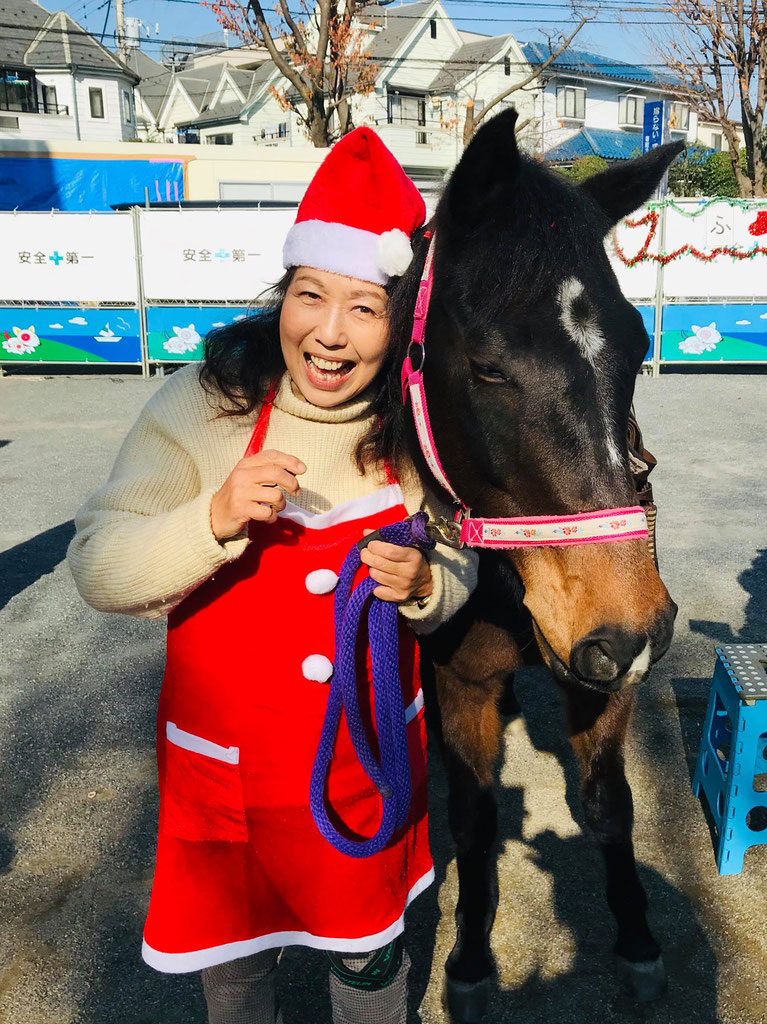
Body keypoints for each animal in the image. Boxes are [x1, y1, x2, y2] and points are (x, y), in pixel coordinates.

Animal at [389, 108, 684, 1019]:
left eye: (637, 346)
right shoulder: (462, 682)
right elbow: (476, 820)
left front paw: (637, 943)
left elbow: (609, 805)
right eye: (487, 366)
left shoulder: (602, 671)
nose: (628, 628)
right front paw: (470, 961)